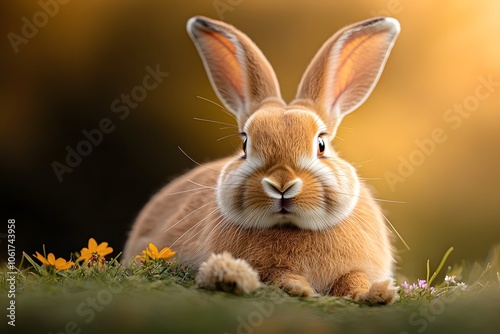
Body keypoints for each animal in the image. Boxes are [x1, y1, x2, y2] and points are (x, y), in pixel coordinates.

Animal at [125, 15, 402, 302]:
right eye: (245, 144)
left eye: (321, 144)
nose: (282, 185)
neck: (290, 227)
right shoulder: (267, 270)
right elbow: (279, 275)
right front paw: (301, 288)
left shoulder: (356, 268)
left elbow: (354, 278)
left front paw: (377, 293)